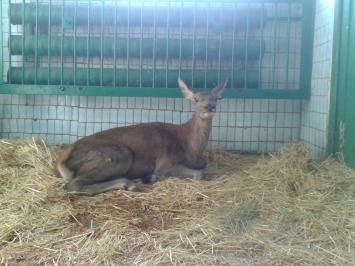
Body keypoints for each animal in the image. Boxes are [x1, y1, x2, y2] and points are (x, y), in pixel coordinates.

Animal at [54, 77, 229, 195]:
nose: (209, 106)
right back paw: (130, 184)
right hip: (117, 154)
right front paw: (150, 176)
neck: (189, 146)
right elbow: (200, 173)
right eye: (196, 99)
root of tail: (60, 164)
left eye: (216, 98)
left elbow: (203, 165)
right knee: (74, 184)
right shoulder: (165, 162)